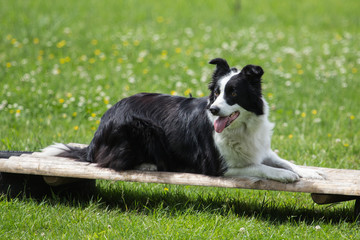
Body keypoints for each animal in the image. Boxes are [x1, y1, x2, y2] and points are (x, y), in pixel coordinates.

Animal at [41, 57, 324, 182]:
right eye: (216, 93)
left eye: (233, 93)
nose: (214, 110)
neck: (241, 128)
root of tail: (95, 137)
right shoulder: (218, 167)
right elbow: (261, 168)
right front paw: (285, 176)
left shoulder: (259, 148)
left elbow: (285, 161)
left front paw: (313, 172)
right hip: (140, 128)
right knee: (110, 161)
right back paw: (149, 165)